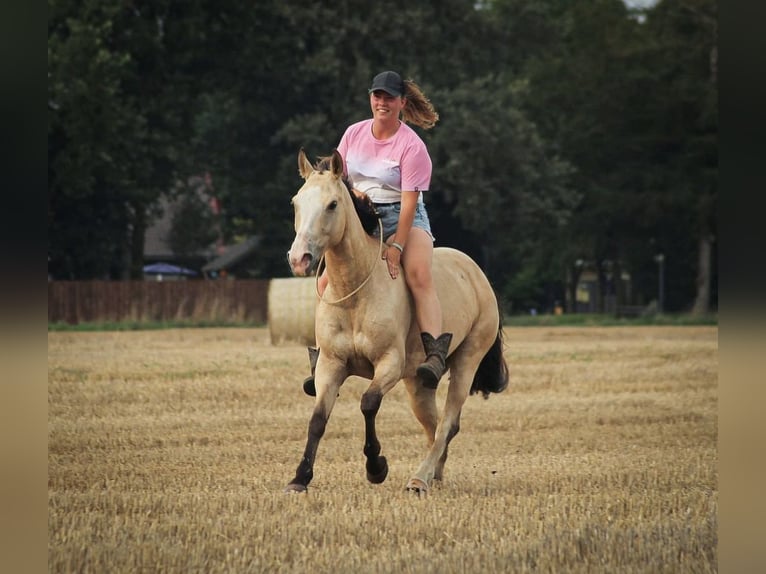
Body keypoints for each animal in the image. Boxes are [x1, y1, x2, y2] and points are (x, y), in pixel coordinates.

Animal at [284, 151, 508, 498]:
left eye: (332, 204)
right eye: (296, 202)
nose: (299, 259)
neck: (356, 292)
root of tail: (476, 273)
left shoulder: (388, 363)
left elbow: (368, 403)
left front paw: (376, 467)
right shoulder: (330, 365)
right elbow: (318, 418)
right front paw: (300, 478)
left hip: (466, 362)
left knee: (447, 423)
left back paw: (419, 479)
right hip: (417, 383)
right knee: (433, 425)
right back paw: (434, 474)